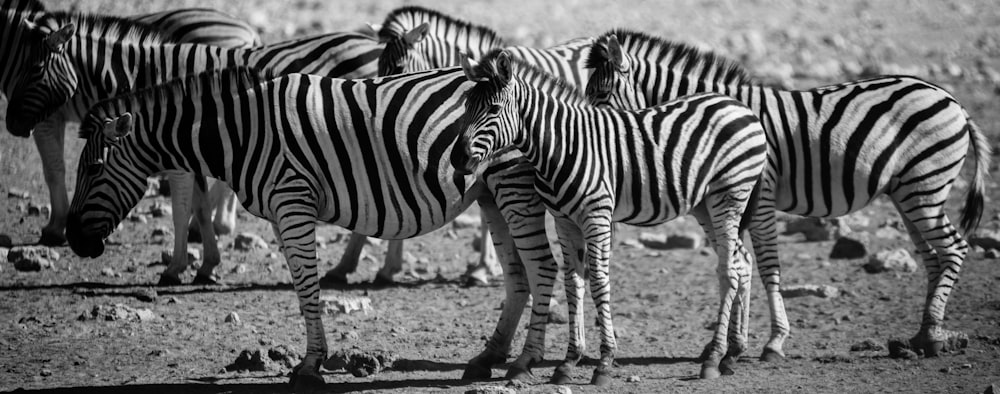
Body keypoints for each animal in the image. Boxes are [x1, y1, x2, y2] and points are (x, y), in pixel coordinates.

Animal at [3, 12, 402, 284]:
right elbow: (197, 204)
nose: (12, 125)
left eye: (33, 69)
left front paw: (176, 267)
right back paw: (378, 267)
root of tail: (372, 44)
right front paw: (206, 263)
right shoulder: (186, 151)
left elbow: (182, 209)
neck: (146, 74)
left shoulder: (177, 153)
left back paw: (357, 267)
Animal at [62, 66, 564, 390]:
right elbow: (301, 288)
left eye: (94, 169)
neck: (239, 132)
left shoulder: (293, 200)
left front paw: (309, 365)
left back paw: (524, 364)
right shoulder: (281, 211)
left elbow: (307, 287)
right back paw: (488, 358)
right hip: (489, 193)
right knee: (517, 276)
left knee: (542, 267)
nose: (73, 241)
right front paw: (310, 360)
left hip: (512, 182)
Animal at [454, 50, 764, 384]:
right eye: (466, 106)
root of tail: (739, 106)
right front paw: (568, 362)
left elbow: (600, 282)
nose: (457, 159)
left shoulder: (597, 215)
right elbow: (573, 282)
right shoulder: (564, 221)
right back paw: (733, 353)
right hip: (705, 205)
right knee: (742, 262)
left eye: (493, 109)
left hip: (730, 194)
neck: (561, 147)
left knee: (728, 271)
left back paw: (714, 358)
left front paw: (604, 362)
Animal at [584, 30, 988, 360]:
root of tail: (951, 99)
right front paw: (733, 344)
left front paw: (773, 342)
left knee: (954, 248)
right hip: (907, 193)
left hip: (925, 185)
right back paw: (923, 336)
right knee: (933, 256)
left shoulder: (760, 194)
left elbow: (765, 266)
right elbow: (738, 262)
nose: (588, 143)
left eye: (601, 94)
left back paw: (932, 336)